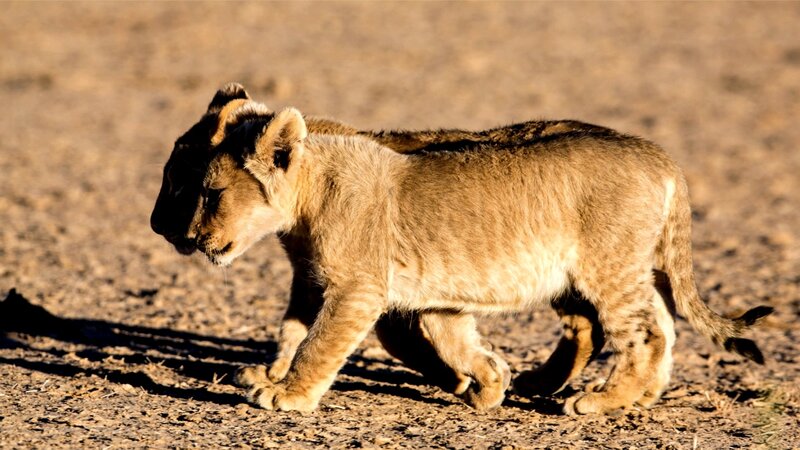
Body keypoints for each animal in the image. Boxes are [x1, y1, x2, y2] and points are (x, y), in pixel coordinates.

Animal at [184, 101, 772, 414]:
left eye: (211, 193)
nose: (194, 238)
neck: (312, 190)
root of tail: (661, 157)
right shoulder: (432, 296)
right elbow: (457, 342)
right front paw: (490, 386)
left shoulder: (358, 288)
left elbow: (318, 342)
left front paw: (287, 395)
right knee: (658, 325)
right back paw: (635, 396)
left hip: (608, 264)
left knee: (646, 330)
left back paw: (600, 401)